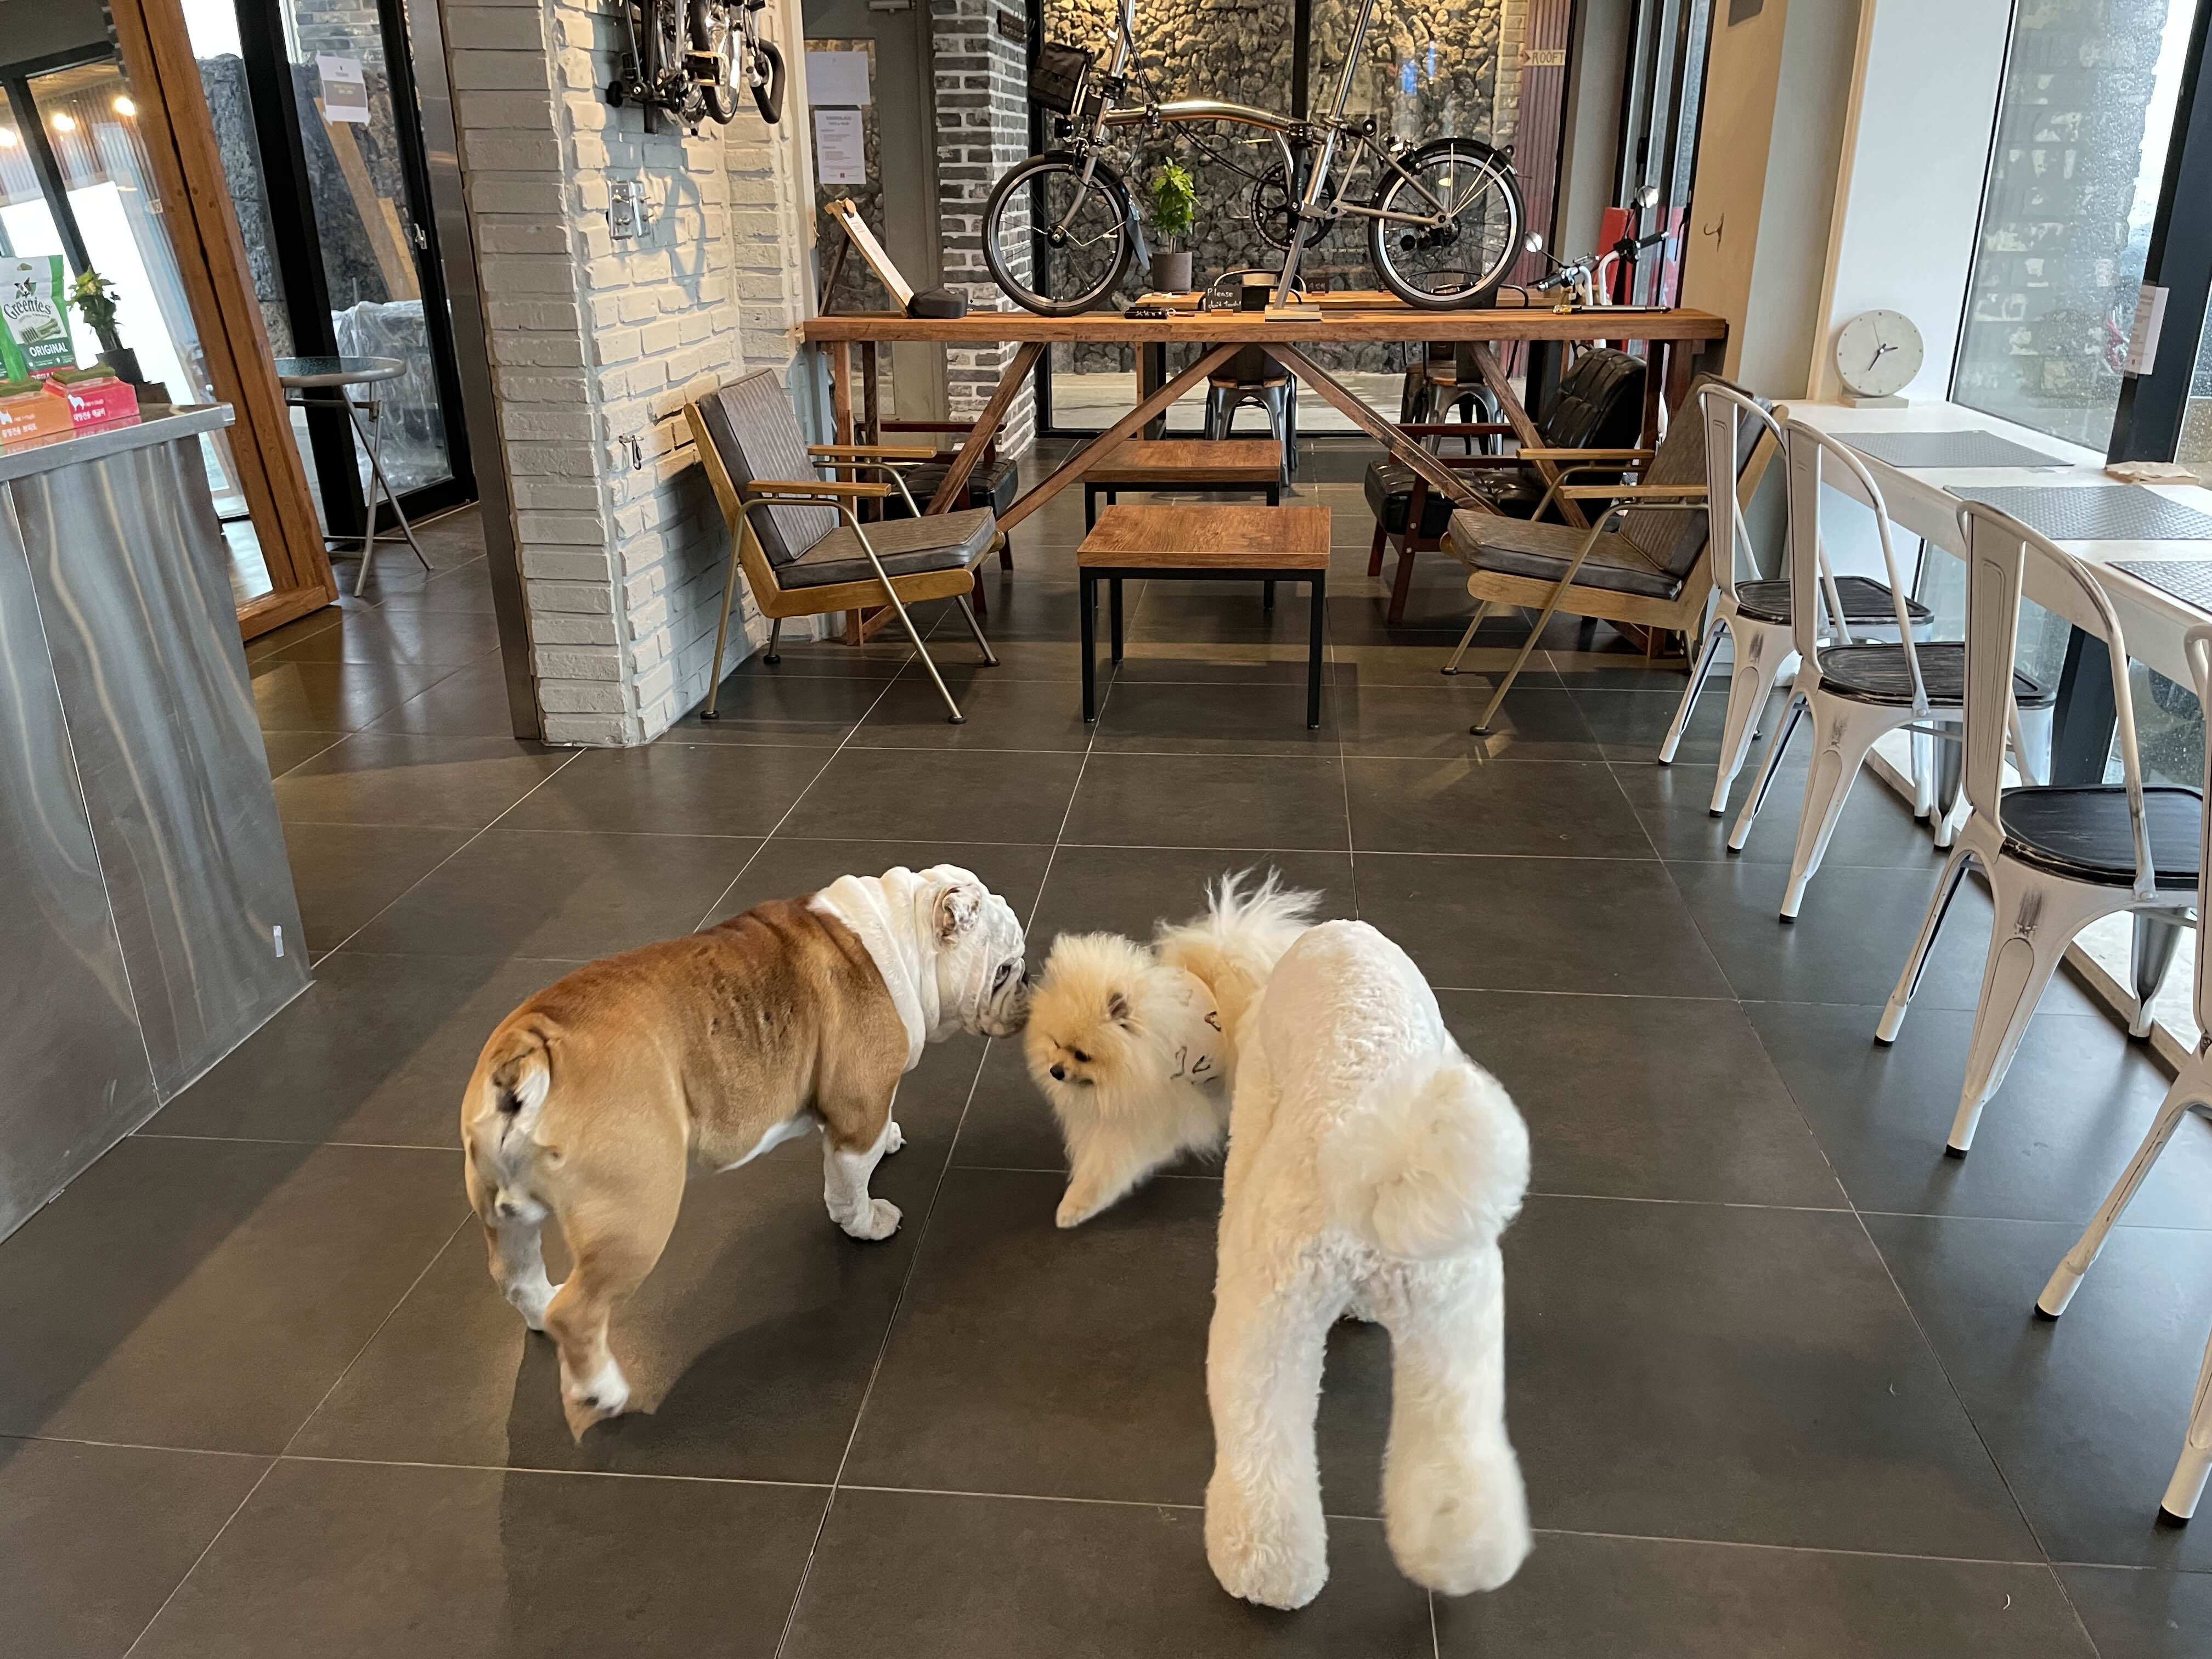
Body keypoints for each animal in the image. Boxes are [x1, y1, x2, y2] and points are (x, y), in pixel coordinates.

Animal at [461, 864, 1028, 1425]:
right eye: (1004, 970)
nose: (1028, 977)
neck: (901, 932)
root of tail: (529, 1051)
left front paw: (888, 1140)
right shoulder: (857, 1110)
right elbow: (849, 1182)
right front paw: (866, 1223)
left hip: (502, 1212)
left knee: (516, 1277)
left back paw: (541, 1310)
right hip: (635, 1217)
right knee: (579, 1313)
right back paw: (603, 1389)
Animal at [1024, 871, 1317, 1228]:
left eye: (1082, 1055)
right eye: (1055, 1043)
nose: (1056, 1071)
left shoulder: (1137, 1123)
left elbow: (1104, 1170)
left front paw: (1074, 1207)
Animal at [1205, 919, 1531, 1609]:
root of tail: (1379, 1171)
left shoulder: (1259, 1092)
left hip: (1268, 1319)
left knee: (1259, 1443)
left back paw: (1262, 1567)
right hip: (1453, 1328)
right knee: (1457, 1454)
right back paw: (1460, 1557)